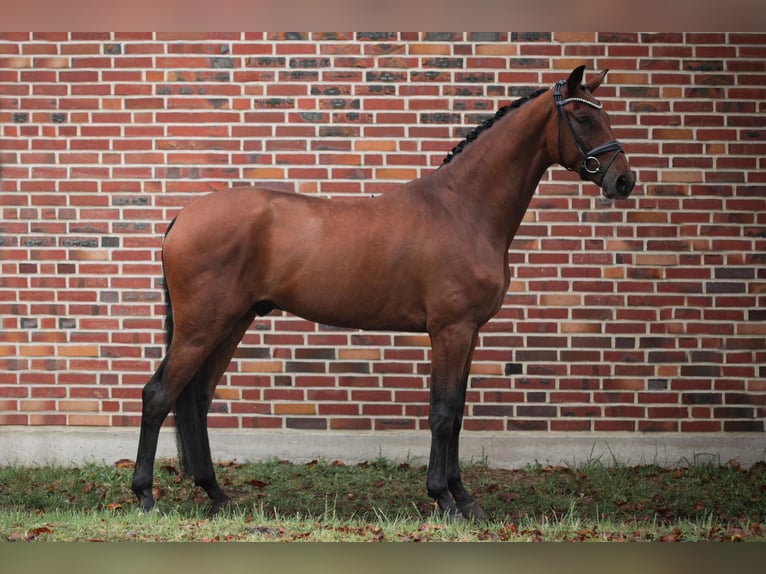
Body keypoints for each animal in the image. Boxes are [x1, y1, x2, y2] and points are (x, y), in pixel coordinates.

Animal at [130, 66, 636, 520]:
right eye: (582, 117)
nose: (623, 181)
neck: (463, 209)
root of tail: (183, 217)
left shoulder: (469, 333)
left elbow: (457, 414)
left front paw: (465, 500)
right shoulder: (450, 331)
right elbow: (442, 413)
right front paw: (444, 500)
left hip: (233, 321)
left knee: (195, 398)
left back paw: (216, 494)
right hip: (203, 325)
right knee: (158, 395)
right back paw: (145, 496)